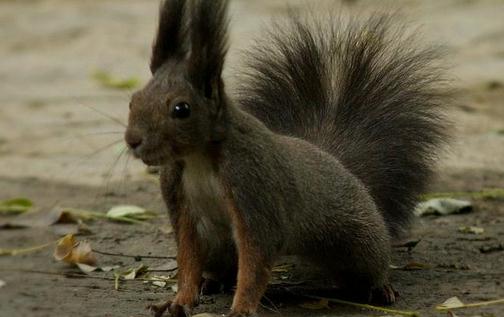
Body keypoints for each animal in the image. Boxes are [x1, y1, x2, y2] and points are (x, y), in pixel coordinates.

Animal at [125, 0, 448, 316]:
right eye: (133, 99)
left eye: (181, 109)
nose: (132, 141)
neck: (199, 159)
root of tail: (338, 164)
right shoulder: (181, 203)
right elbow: (189, 258)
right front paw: (179, 301)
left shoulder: (255, 189)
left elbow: (255, 261)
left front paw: (241, 309)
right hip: (219, 248)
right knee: (223, 267)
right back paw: (212, 281)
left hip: (358, 240)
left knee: (371, 264)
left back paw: (381, 288)